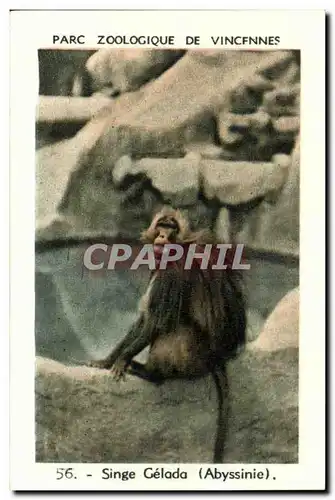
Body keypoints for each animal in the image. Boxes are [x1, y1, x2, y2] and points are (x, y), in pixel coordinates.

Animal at [89, 206, 247, 460]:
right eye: (162, 225)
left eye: (171, 228)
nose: (162, 235)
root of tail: (218, 356)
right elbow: (145, 318)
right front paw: (108, 360)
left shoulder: (172, 269)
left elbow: (156, 320)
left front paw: (123, 359)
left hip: (198, 356)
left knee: (176, 328)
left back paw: (151, 373)